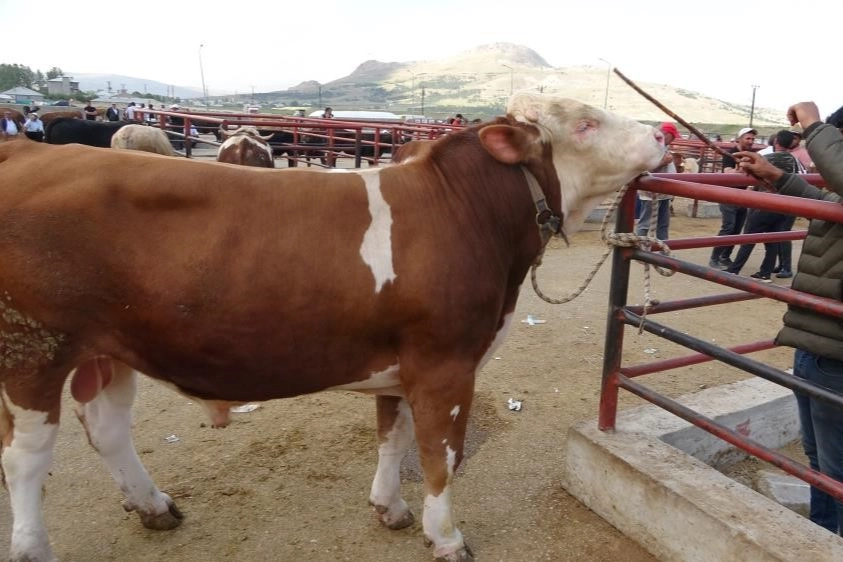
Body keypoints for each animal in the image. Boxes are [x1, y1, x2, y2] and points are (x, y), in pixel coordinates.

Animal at [0, 93, 664, 560]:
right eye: (585, 124)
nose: (663, 132)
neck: (464, 211)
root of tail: (29, 151)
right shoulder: (446, 364)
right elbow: (440, 454)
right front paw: (446, 537)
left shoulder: (402, 364)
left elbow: (393, 438)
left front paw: (389, 508)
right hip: (30, 350)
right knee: (26, 458)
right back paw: (35, 547)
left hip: (108, 348)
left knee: (106, 427)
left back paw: (153, 505)